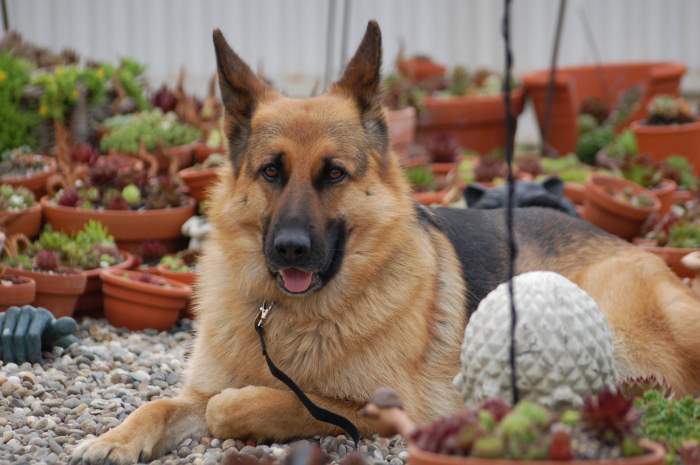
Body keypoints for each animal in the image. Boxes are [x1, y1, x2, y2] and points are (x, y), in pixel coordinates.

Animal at [71, 20, 700, 460]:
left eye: (333, 174)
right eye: (272, 171)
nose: (290, 249)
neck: (287, 316)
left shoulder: (376, 410)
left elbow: (261, 403)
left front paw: (241, 406)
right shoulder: (195, 393)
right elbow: (159, 404)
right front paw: (114, 439)